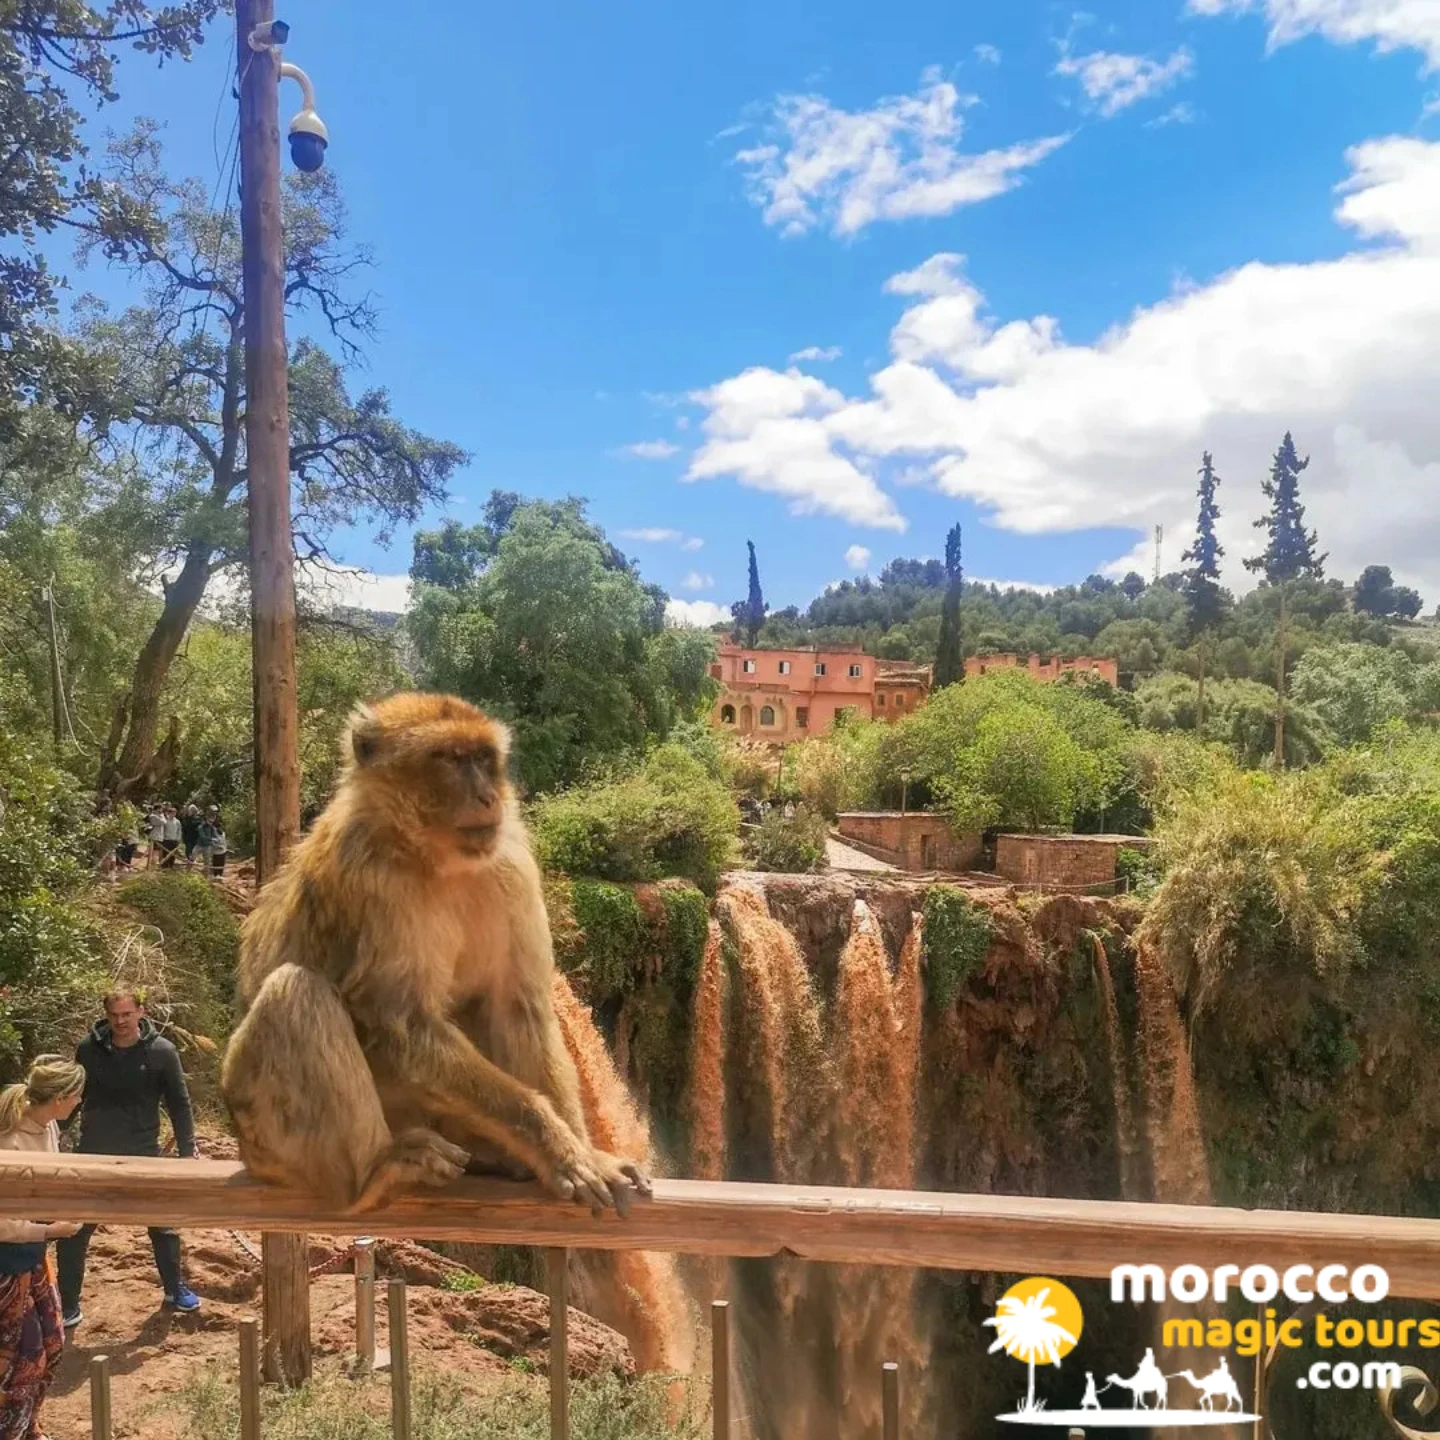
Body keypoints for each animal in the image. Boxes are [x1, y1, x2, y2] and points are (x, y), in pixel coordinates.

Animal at [219, 691, 651, 1216]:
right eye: (449, 759)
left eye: (483, 758)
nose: (487, 797)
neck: (431, 856)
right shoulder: (373, 878)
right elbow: (402, 1022)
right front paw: (555, 1145)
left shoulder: (511, 863)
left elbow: (519, 1008)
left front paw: (583, 1151)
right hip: (261, 1132)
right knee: (296, 992)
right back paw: (376, 1172)